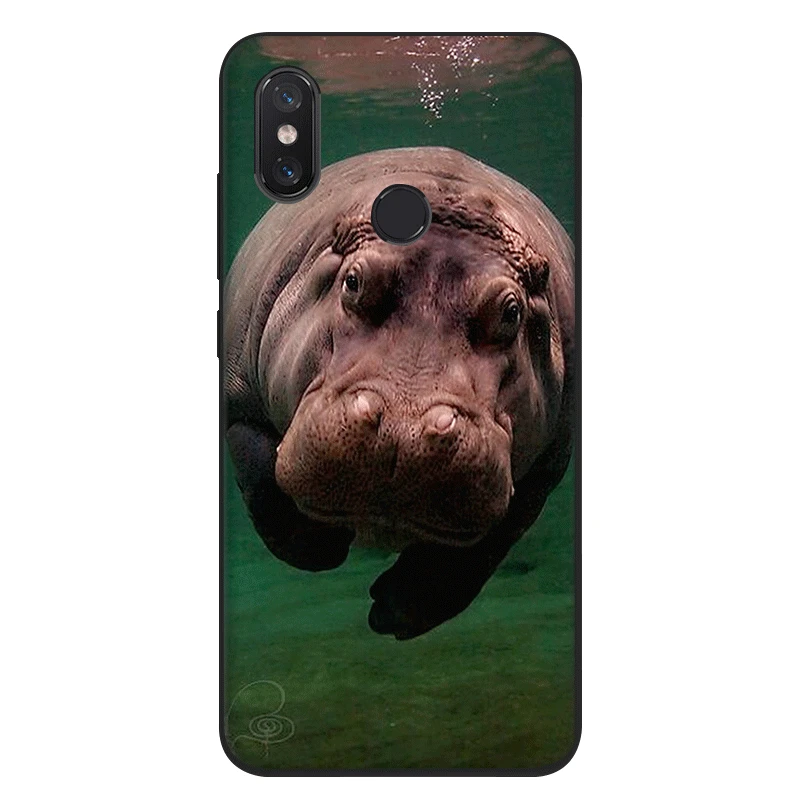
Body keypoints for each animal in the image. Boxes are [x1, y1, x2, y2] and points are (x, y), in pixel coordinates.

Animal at [224, 146, 575, 639]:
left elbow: (473, 557)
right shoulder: (240, 407)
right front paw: (326, 541)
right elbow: (262, 482)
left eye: (511, 313)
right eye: (353, 282)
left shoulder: (544, 472)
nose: (401, 431)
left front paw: (391, 614)